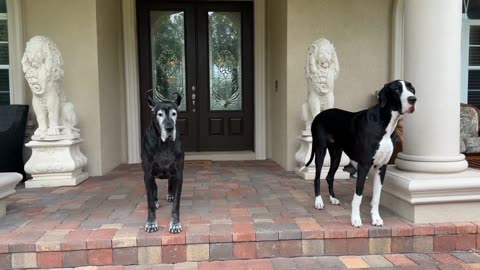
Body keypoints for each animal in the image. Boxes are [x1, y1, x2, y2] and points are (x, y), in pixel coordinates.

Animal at [141, 92, 184, 233]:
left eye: (174, 113)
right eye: (159, 114)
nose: (169, 128)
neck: (164, 144)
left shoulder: (179, 173)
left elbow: (176, 203)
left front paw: (175, 224)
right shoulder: (148, 174)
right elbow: (149, 202)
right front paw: (151, 223)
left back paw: (170, 194)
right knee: (154, 188)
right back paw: (156, 200)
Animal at [306, 80, 418, 228]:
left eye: (411, 89)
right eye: (396, 89)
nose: (413, 99)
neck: (385, 124)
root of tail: (320, 114)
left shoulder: (381, 167)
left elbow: (377, 197)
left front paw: (376, 218)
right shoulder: (363, 165)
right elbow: (358, 196)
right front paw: (355, 219)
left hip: (336, 155)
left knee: (329, 176)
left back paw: (333, 198)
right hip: (320, 151)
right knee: (317, 177)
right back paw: (318, 201)